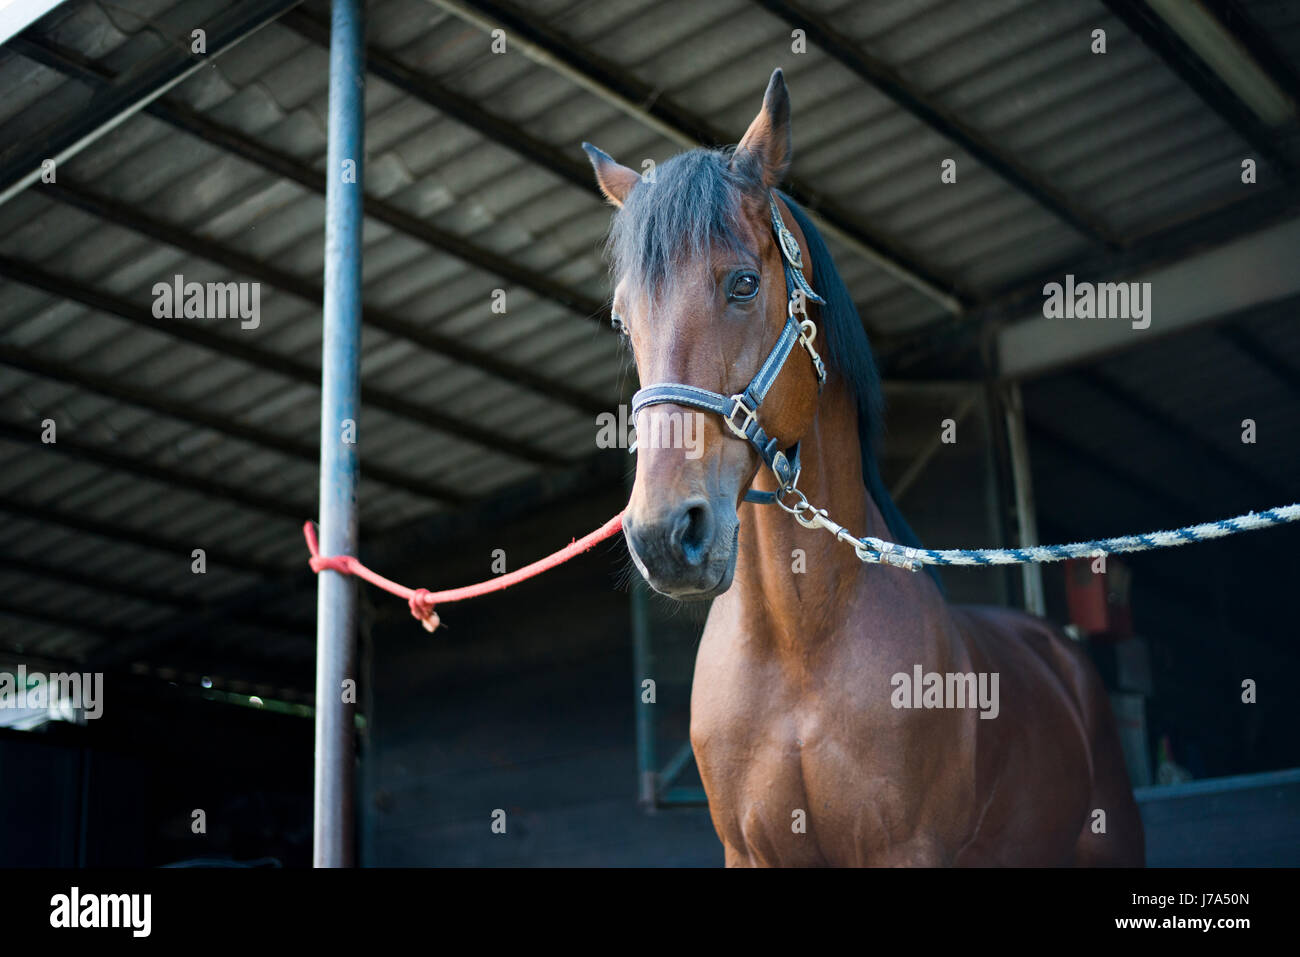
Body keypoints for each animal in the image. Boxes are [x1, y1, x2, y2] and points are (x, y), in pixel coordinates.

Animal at [585, 63, 1144, 863]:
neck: (796, 647)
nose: (664, 534)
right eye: (624, 320)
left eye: (743, 284)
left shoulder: (903, 848)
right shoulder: (746, 852)